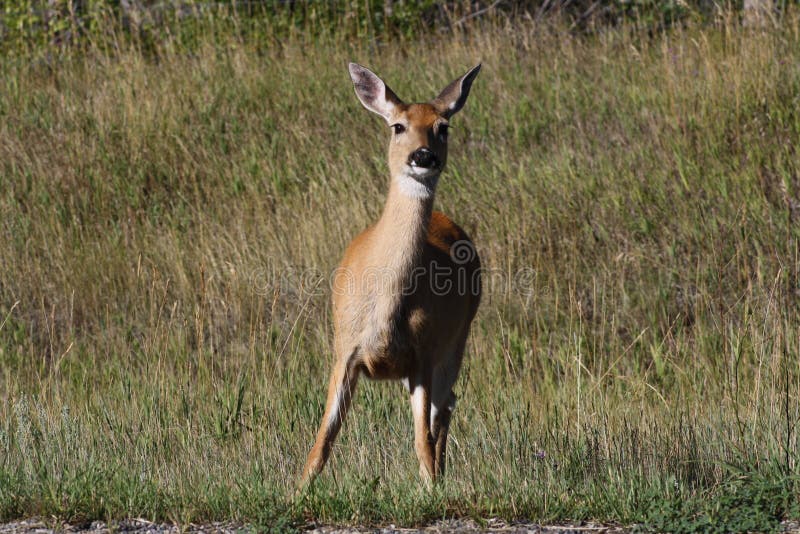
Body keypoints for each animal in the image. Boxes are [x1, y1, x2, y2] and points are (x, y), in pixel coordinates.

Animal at [300, 62, 482, 490]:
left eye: (443, 127)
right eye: (398, 126)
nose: (423, 156)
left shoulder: (424, 352)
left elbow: (421, 441)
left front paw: (431, 489)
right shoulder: (345, 348)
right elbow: (323, 439)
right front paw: (298, 491)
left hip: (456, 343)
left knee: (443, 409)